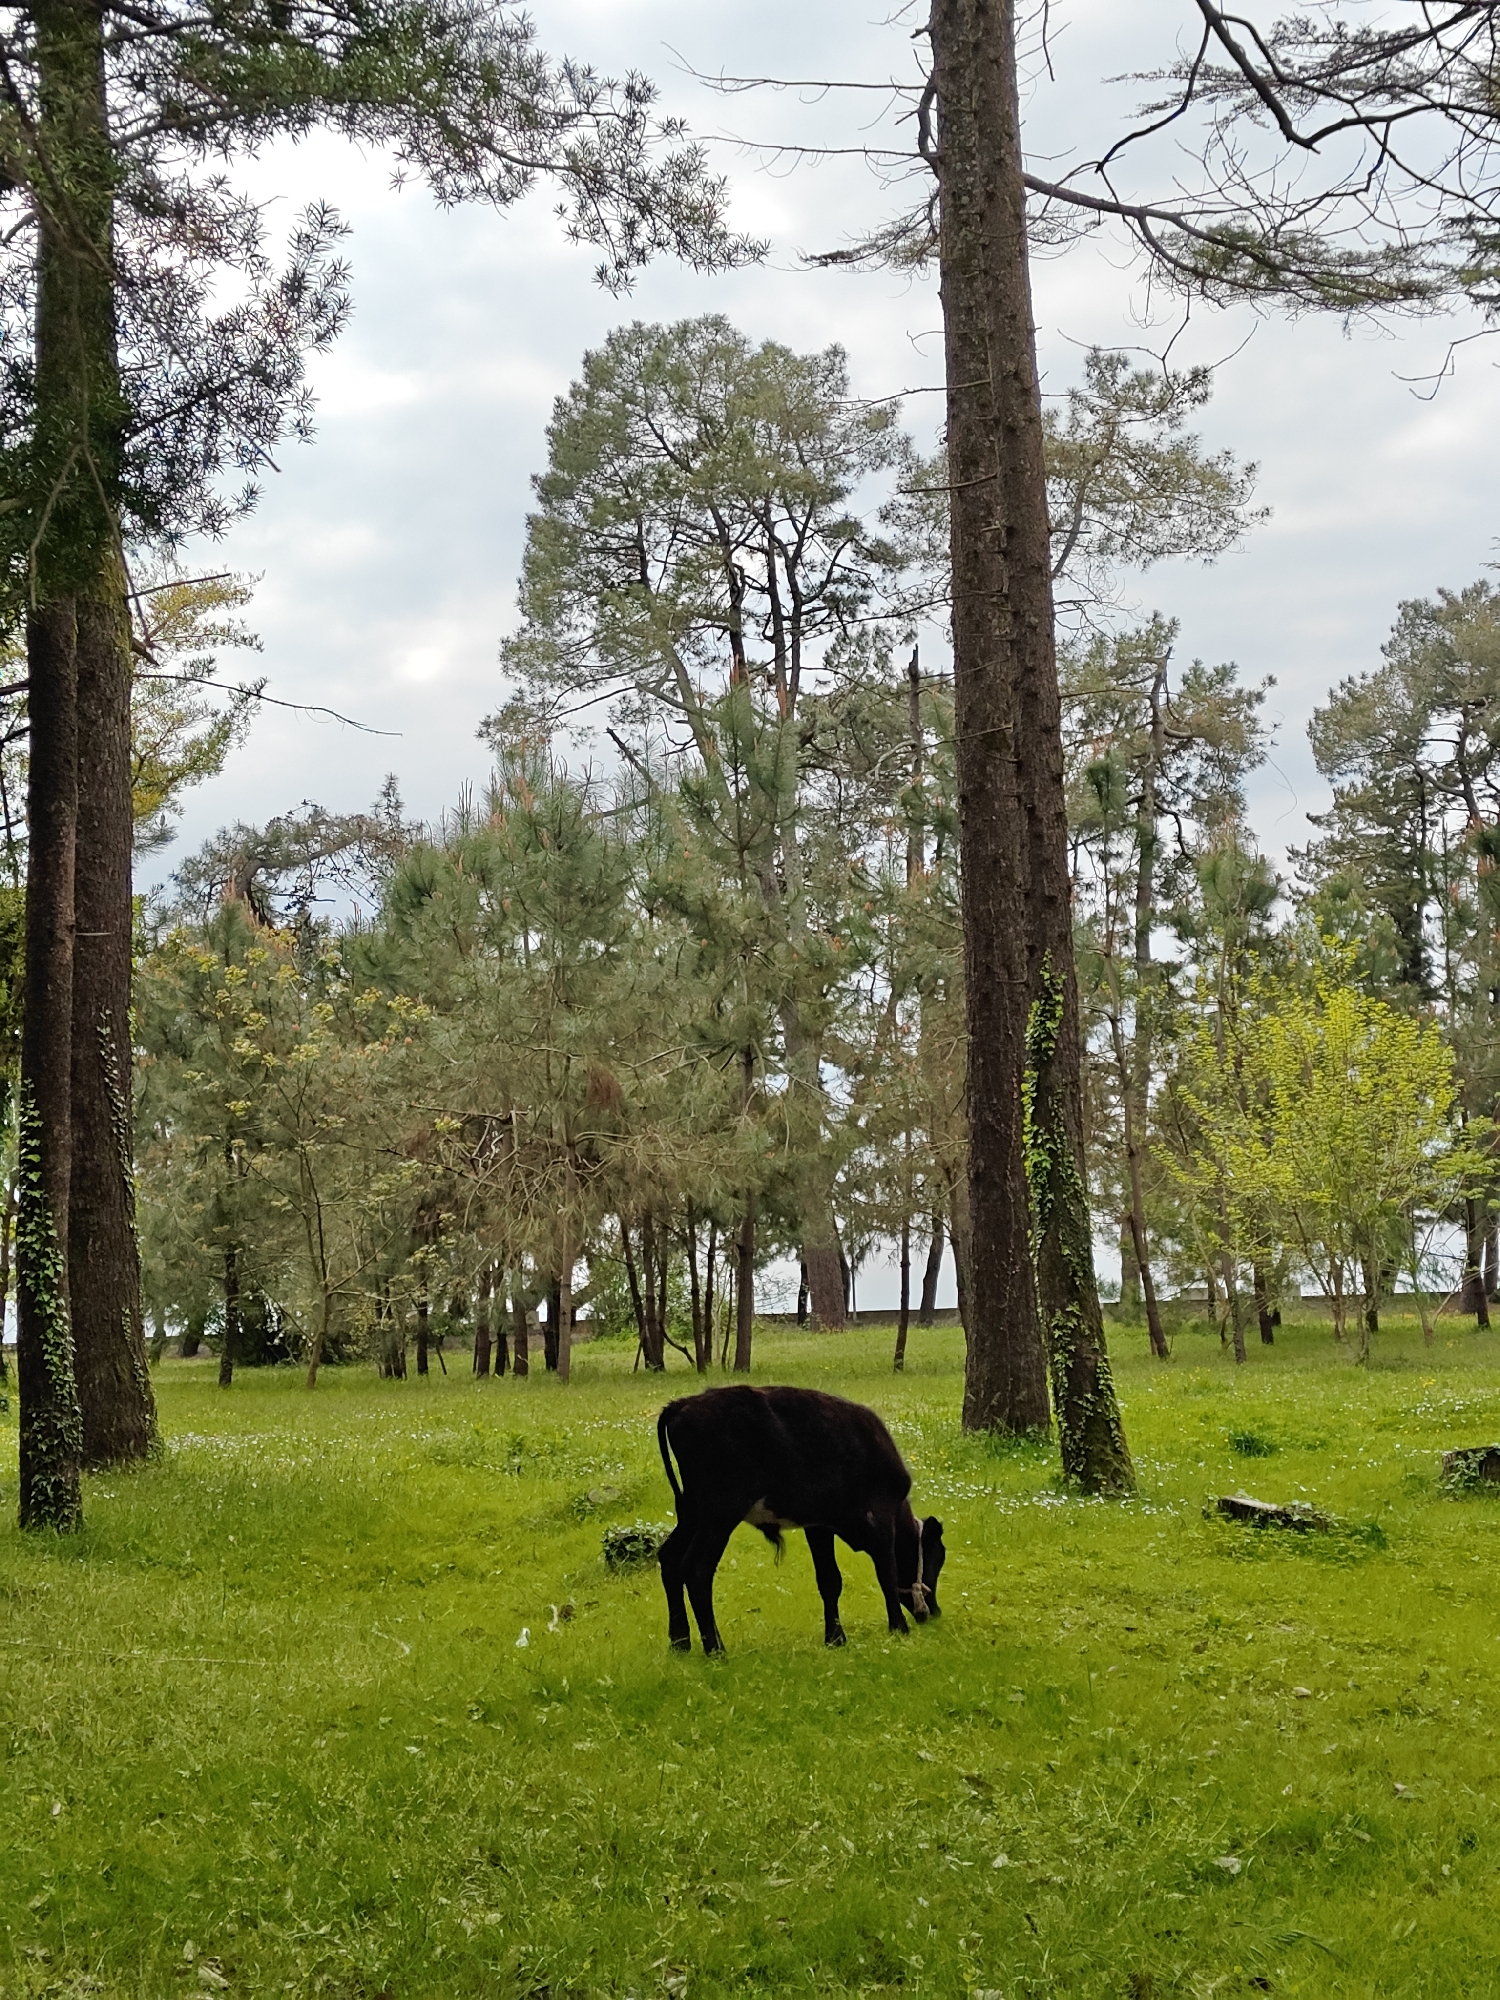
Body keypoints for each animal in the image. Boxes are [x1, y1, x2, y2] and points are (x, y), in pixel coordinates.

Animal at [655, 1384, 947, 1654]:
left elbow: (830, 1580)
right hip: (720, 1515)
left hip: (692, 1512)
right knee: (697, 1570)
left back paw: (680, 1642)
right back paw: (715, 1649)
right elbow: (887, 1573)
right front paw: (899, 1628)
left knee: (670, 1558)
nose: (934, 1611)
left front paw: (835, 1638)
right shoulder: (881, 1523)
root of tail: (684, 1403)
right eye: (937, 1558)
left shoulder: (819, 1525)